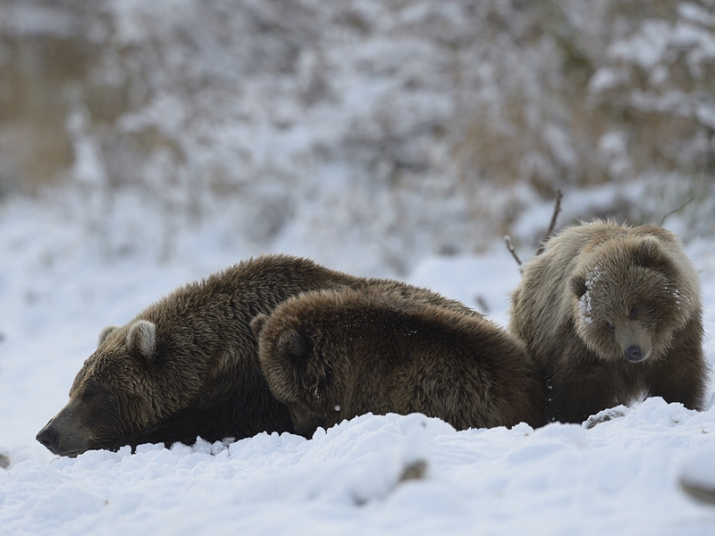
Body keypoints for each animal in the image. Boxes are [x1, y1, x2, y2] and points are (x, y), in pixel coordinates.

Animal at [512, 218, 708, 422]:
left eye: (634, 309)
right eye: (609, 323)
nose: (633, 351)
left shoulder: (680, 335)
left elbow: (679, 377)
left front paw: (682, 404)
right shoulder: (583, 348)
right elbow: (578, 390)